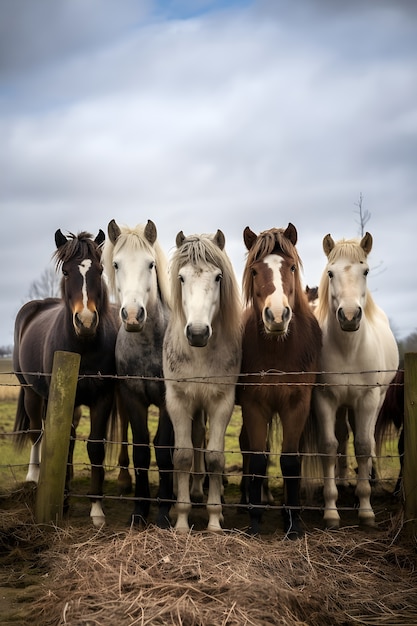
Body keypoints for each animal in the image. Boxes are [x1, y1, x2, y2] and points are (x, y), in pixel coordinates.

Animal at [13, 230, 118, 528]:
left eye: (100, 270)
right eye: (67, 272)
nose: (86, 321)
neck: (83, 347)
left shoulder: (103, 397)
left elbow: (94, 446)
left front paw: (97, 510)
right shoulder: (63, 398)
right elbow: (66, 443)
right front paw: (65, 499)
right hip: (32, 392)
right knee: (37, 431)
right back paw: (33, 477)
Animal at [162, 229, 240, 532]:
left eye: (218, 277)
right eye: (181, 278)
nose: (197, 333)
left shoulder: (221, 402)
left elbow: (215, 457)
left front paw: (215, 521)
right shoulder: (178, 401)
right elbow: (183, 455)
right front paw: (182, 520)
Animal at [236, 223, 320, 536]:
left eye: (292, 267)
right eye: (255, 271)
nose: (276, 315)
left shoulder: (297, 405)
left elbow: (290, 461)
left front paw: (292, 522)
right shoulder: (254, 405)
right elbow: (259, 459)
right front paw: (254, 521)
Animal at [310, 230, 398, 528]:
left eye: (366, 271)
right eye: (330, 273)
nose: (349, 316)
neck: (348, 349)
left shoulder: (367, 398)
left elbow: (362, 445)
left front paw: (366, 509)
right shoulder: (325, 399)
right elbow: (329, 446)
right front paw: (331, 510)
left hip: (375, 401)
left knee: (365, 438)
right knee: (341, 437)